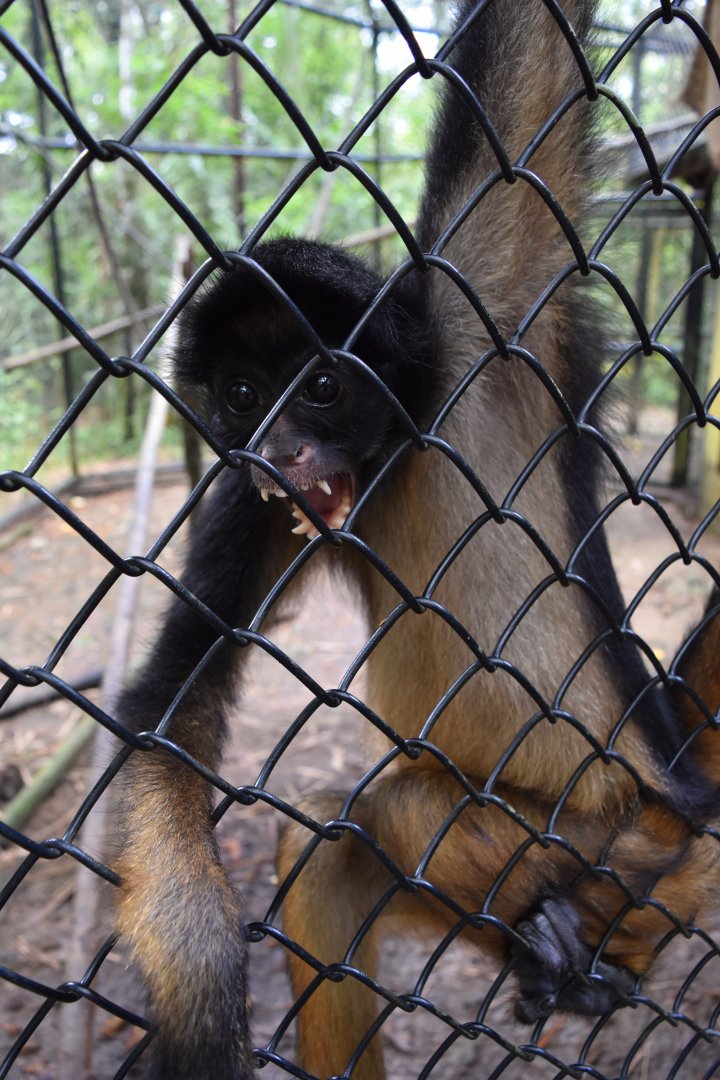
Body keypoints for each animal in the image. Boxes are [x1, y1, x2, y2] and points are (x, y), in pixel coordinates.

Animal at [112, 1, 720, 1078]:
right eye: (242, 395)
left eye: (320, 384)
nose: (281, 447)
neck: (395, 451)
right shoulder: (255, 496)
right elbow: (169, 706)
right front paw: (198, 993)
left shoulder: (488, 311)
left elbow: (527, 83)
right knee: (326, 860)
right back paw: (556, 960)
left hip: (636, 836)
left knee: (389, 812)